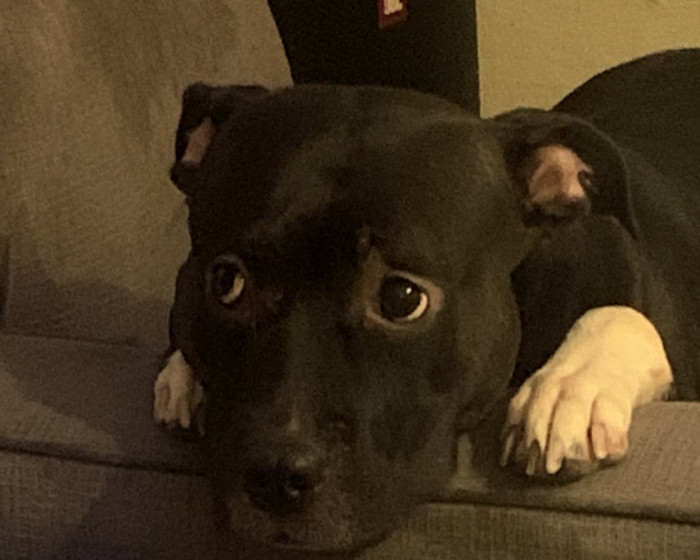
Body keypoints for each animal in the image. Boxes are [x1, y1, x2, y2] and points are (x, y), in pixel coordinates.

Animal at [153, 49, 698, 551]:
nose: (275, 475)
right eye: (227, 282)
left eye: (401, 298)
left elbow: (621, 317)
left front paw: (571, 389)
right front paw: (182, 374)